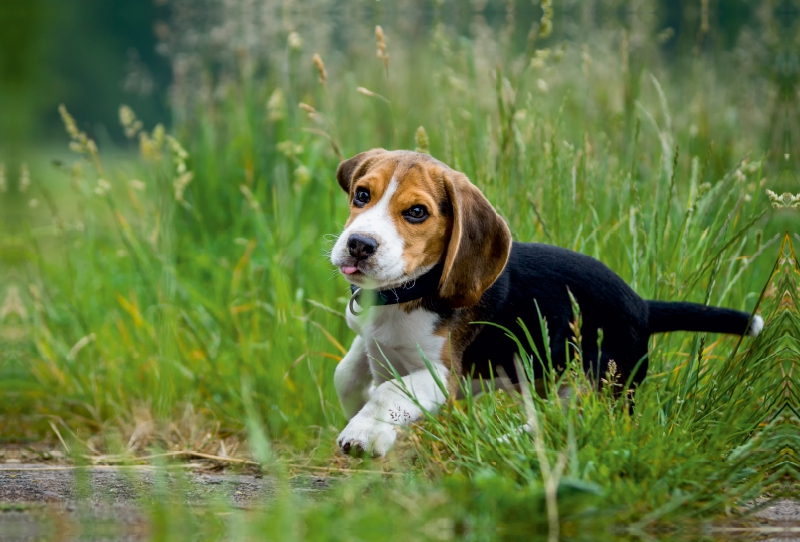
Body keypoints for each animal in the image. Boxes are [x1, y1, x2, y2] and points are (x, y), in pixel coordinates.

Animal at [330, 150, 764, 460]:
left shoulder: (443, 375)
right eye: (362, 195)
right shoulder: (372, 344)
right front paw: (369, 422)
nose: (359, 244)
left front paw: (361, 432)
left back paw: (509, 443)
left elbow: (390, 391)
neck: (407, 291)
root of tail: (643, 306)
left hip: (599, 387)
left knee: (571, 423)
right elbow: (348, 374)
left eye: (417, 212)